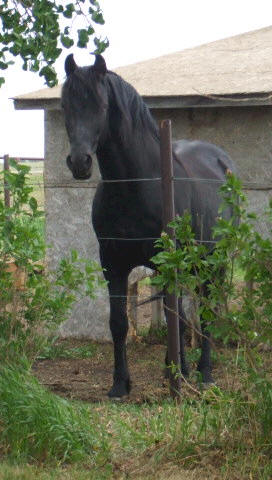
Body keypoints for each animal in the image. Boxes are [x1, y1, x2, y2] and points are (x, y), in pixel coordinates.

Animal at [62, 53, 236, 398]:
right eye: (65, 105)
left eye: (101, 105)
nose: (79, 162)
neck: (136, 184)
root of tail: (221, 161)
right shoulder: (113, 264)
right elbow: (119, 322)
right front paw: (120, 385)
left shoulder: (168, 263)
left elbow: (173, 317)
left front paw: (176, 377)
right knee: (184, 313)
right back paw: (180, 369)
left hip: (212, 262)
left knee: (205, 313)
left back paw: (203, 373)